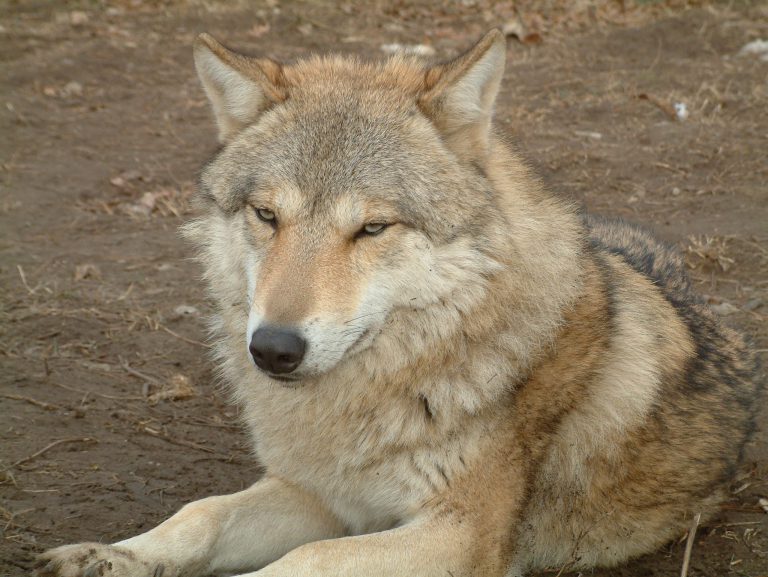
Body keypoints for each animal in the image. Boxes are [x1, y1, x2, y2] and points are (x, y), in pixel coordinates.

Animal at [34, 30, 756, 576]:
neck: (372, 399)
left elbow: (309, 559)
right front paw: (110, 555)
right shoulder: (319, 496)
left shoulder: (457, 535)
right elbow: (202, 512)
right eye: (267, 215)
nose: (273, 348)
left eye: (372, 227)